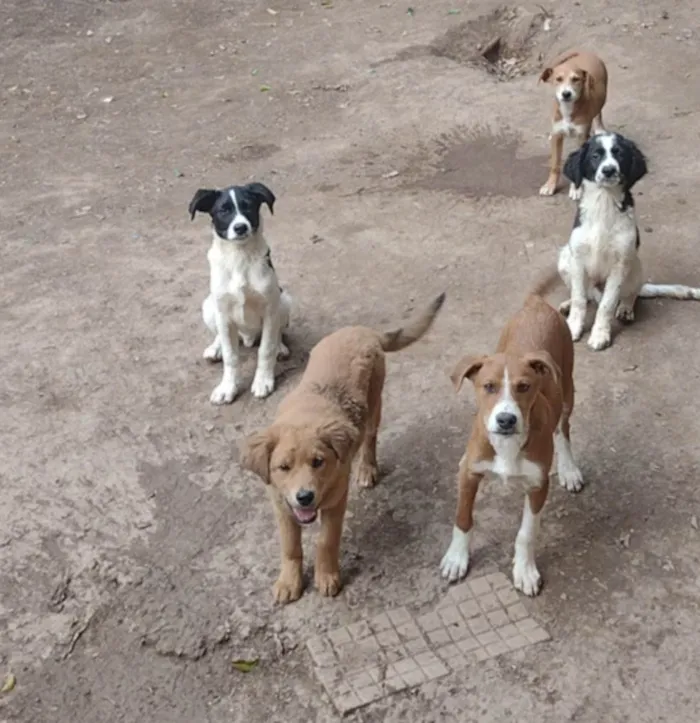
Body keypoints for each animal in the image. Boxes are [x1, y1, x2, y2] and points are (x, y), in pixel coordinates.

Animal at [187, 181, 292, 404]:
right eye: (223, 210)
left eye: (248, 206)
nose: (240, 227)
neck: (239, 256)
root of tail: (248, 337)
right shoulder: (223, 313)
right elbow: (230, 356)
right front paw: (228, 387)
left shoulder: (270, 309)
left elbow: (266, 349)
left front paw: (263, 381)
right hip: (209, 306)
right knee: (220, 335)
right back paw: (215, 348)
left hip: (285, 301)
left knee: (276, 334)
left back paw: (280, 347)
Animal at [241, 294, 446, 604]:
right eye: (283, 468)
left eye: (318, 462)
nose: (304, 497)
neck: (304, 416)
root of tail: (363, 330)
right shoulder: (281, 505)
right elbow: (290, 547)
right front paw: (289, 582)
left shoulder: (337, 500)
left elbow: (326, 541)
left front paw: (327, 577)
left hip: (374, 403)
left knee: (370, 438)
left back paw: (367, 469)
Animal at [440, 274, 584, 596]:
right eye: (488, 386)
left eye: (524, 386)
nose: (506, 419)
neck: (507, 445)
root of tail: (537, 304)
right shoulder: (469, 472)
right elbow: (462, 518)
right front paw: (456, 558)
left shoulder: (538, 485)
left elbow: (526, 533)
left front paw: (525, 571)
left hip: (567, 388)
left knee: (564, 430)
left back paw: (569, 469)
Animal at [536, 49, 608, 199]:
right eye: (558, 79)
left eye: (576, 79)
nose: (566, 94)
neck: (568, 108)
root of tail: (585, 53)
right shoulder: (558, 135)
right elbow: (555, 163)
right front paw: (550, 185)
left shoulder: (581, 137)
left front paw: (576, 189)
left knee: (598, 111)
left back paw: (599, 129)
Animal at [556, 133, 700, 354]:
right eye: (595, 155)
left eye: (620, 154)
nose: (609, 170)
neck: (604, 202)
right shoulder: (578, 259)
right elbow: (579, 298)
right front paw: (573, 327)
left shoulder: (621, 263)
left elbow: (607, 304)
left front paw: (600, 334)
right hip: (565, 258)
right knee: (585, 295)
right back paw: (567, 304)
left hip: (635, 265)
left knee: (629, 294)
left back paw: (625, 308)